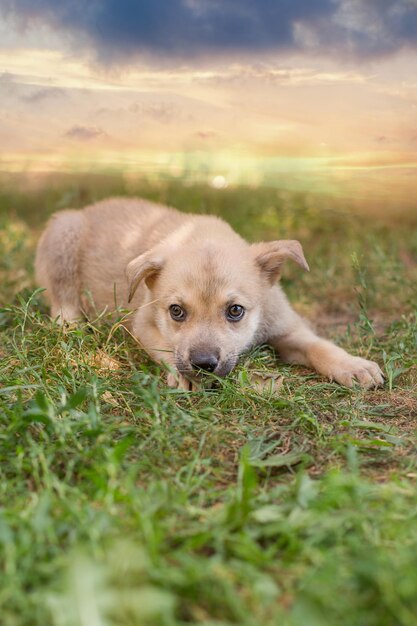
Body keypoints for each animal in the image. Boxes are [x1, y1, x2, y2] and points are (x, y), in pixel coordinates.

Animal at [35, 197, 384, 388]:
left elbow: (320, 346)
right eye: (176, 311)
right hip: (64, 233)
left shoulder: (289, 328)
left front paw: (352, 365)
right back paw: (72, 329)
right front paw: (183, 375)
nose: (203, 364)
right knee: (62, 302)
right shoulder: (143, 325)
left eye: (235, 311)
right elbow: (167, 348)